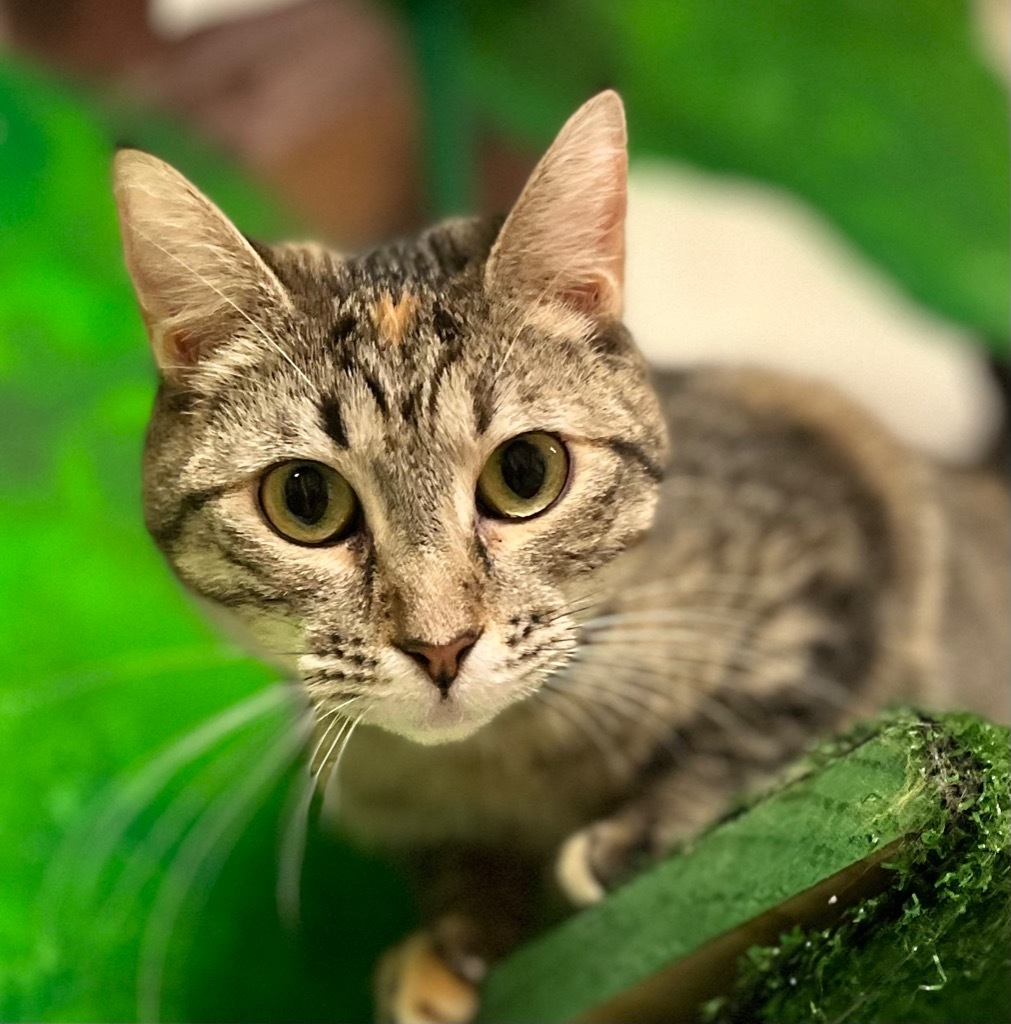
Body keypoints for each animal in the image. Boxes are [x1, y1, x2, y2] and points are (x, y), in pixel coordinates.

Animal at [114, 92, 1007, 1019]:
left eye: (524, 473)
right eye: (304, 500)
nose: (440, 646)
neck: (504, 766)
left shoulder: (840, 512)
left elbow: (778, 705)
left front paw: (638, 834)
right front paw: (454, 939)